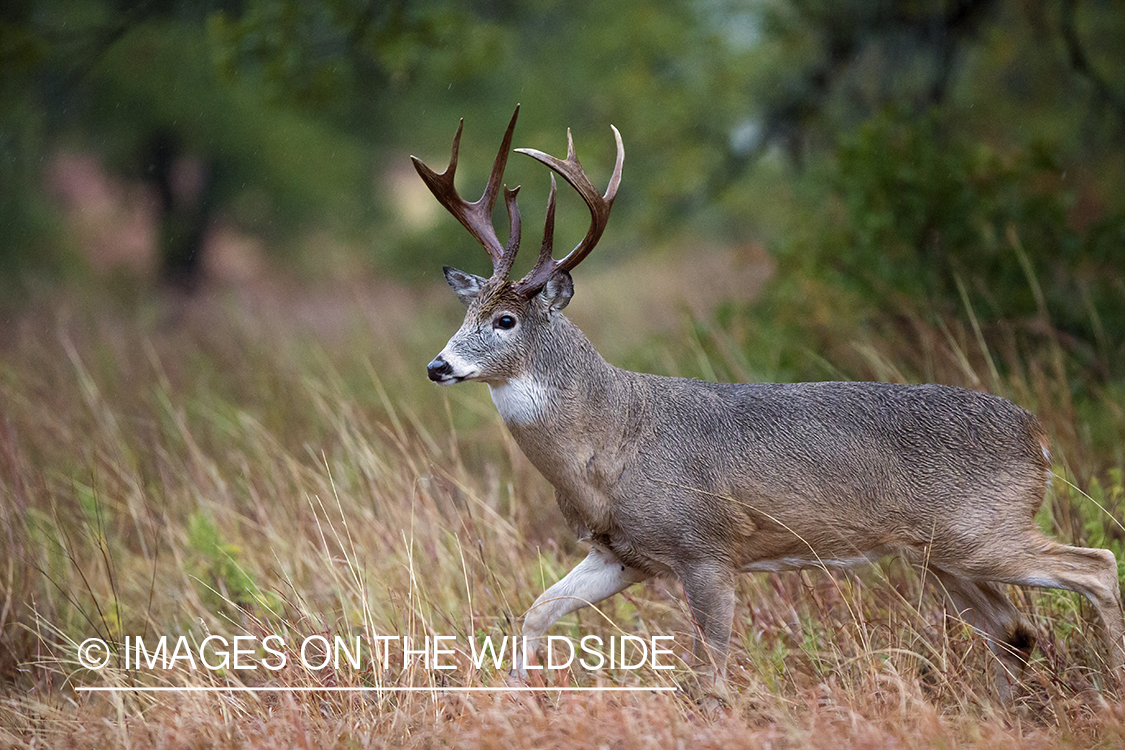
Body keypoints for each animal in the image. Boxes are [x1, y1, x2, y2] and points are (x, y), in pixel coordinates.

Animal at [414, 106, 1125, 706]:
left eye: (505, 319)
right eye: (466, 312)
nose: (437, 366)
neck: (610, 441)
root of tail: (1038, 439)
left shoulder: (707, 545)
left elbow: (711, 674)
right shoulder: (622, 553)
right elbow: (537, 609)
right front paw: (514, 698)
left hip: (983, 530)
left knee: (1096, 567)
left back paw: (1109, 687)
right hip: (943, 552)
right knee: (1014, 628)